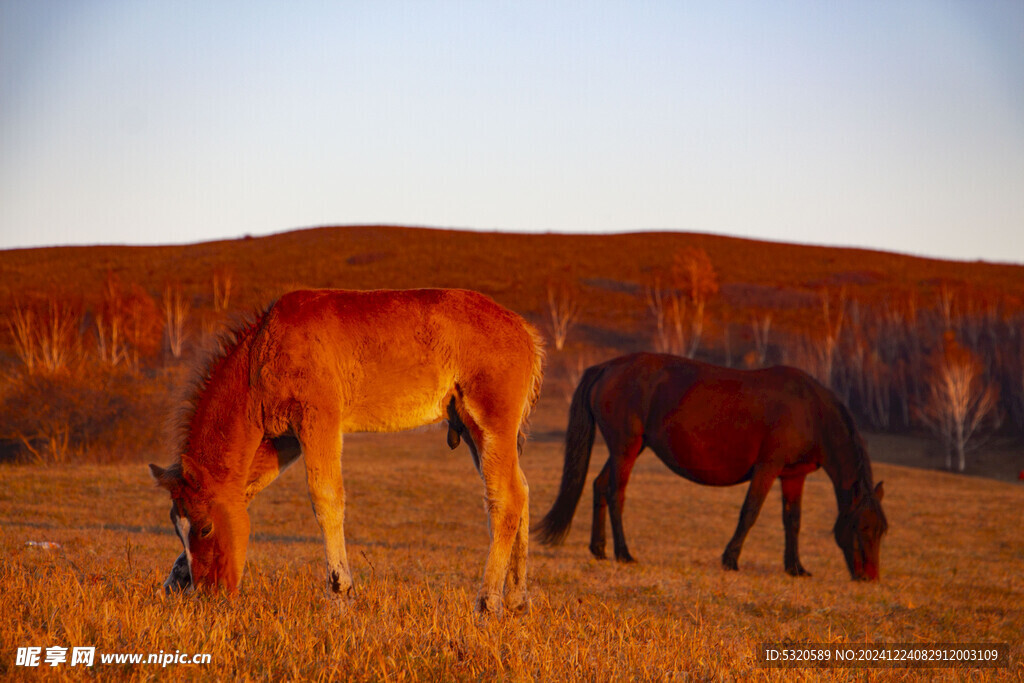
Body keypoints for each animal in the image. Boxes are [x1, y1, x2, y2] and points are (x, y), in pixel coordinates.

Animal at [149, 288, 544, 614]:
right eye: (178, 527)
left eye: (205, 529)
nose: (210, 594)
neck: (260, 353)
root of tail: (525, 331)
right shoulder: (284, 439)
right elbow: (244, 490)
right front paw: (174, 580)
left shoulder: (317, 420)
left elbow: (326, 498)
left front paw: (341, 592)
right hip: (474, 430)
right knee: (522, 491)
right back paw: (517, 599)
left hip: (490, 425)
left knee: (506, 498)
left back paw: (488, 601)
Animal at [536, 352, 888, 581]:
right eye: (862, 527)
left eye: (882, 529)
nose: (870, 576)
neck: (811, 411)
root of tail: (608, 366)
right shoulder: (767, 467)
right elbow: (750, 512)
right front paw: (730, 559)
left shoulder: (793, 476)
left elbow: (793, 521)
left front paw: (796, 568)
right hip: (626, 448)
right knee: (615, 493)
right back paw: (624, 553)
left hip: (628, 449)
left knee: (599, 486)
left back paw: (599, 549)